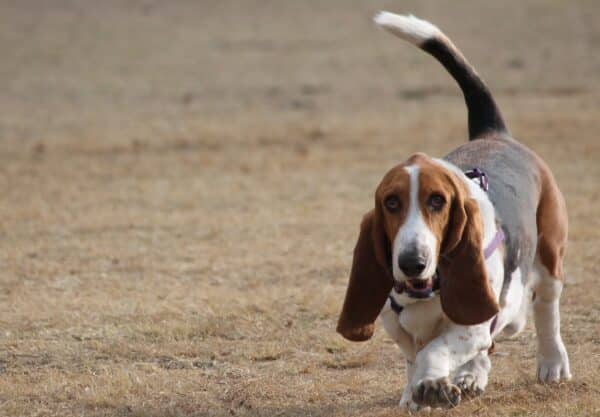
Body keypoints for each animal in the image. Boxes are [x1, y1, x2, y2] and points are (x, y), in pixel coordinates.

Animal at [338, 10, 572, 410]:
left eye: (437, 201)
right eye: (391, 203)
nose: (411, 261)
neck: (426, 289)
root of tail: (493, 133)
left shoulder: (472, 323)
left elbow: (436, 349)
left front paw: (432, 383)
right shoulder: (396, 324)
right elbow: (414, 354)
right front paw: (416, 392)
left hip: (548, 257)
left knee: (543, 310)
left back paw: (551, 363)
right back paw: (471, 375)